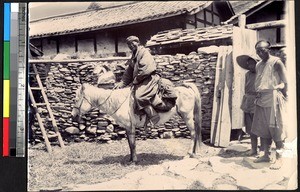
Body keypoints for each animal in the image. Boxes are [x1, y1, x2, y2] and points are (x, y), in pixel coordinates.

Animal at [72, 82, 204, 162]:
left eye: (77, 99)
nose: (73, 116)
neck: (119, 102)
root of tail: (187, 88)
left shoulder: (131, 127)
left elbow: (133, 144)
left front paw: (134, 160)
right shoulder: (127, 127)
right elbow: (130, 144)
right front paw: (131, 159)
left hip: (187, 116)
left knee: (193, 133)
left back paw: (188, 154)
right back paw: (193, 153)